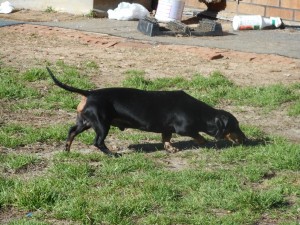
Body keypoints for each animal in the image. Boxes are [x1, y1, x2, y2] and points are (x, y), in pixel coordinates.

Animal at [46, 67, 246, 156]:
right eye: (235, 126)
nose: (245, 140)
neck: (201, 113)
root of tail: (89, 93)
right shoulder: (184, 129)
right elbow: (198, 135)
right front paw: (204, 142)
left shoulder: (167, 129)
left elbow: (166, 139)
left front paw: (170, 148)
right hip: (102, 124)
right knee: (98, 142)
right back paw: (112, 154)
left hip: (86, 122)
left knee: (71, 131)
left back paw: (67, 149)